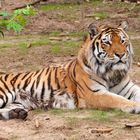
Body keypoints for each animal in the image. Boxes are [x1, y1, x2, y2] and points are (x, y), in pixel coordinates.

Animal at [0, 21, 140, 120]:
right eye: (107, 42)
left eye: (122, 40)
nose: (121, 54)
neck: (112, 73)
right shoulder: (93, 94)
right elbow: (117, 99)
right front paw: (135, 106)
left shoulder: (129, 88)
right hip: (4, 94)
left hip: (16, 102)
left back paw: (17, 113)